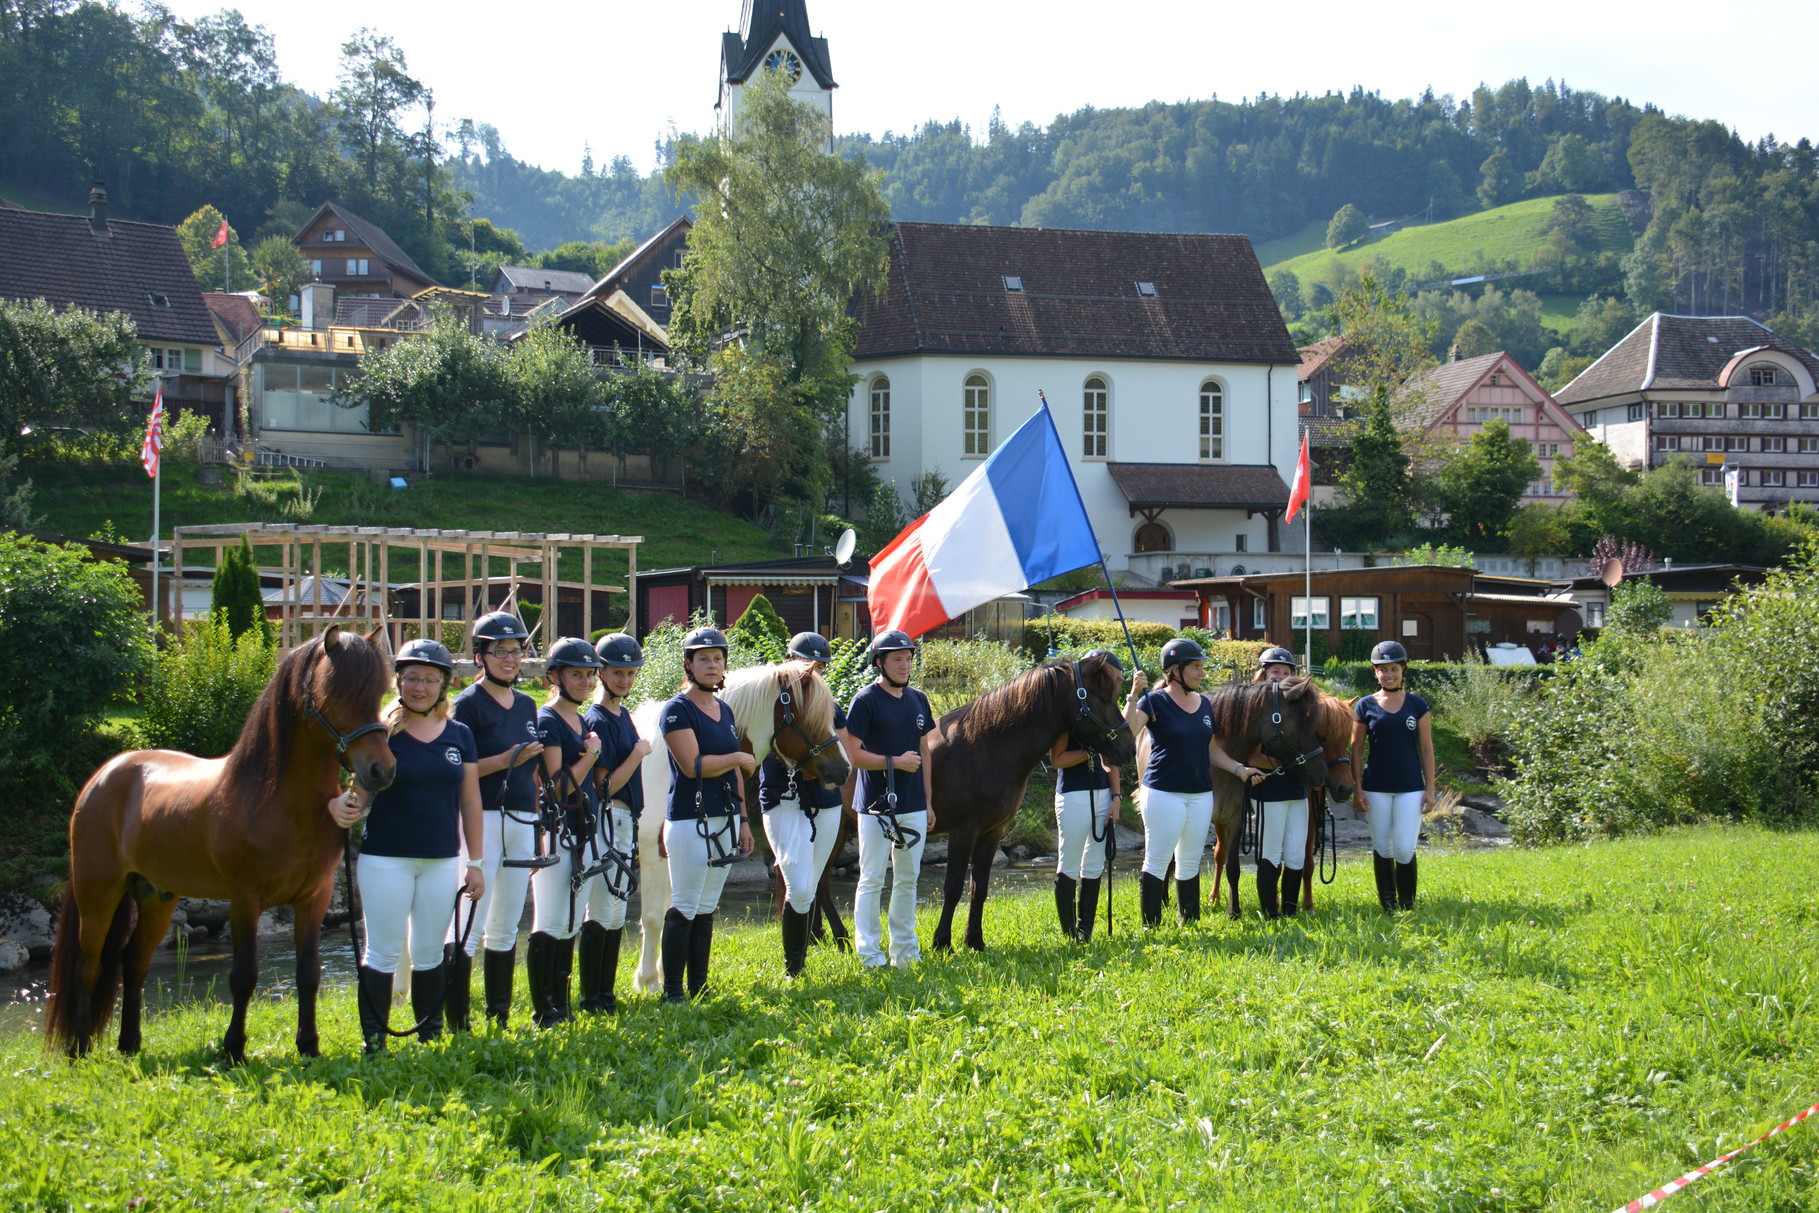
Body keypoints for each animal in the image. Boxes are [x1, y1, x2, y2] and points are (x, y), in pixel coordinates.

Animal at [45, 625, 394, 1062]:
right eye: (336, 695)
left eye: (379, 693)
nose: (382, 770)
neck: (276, 800)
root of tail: (104, 774)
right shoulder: (245, 899)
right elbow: (244, 976)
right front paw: (233, 1051)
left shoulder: (314, 897)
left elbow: (309, 973)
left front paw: (309, 1047)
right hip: (98, 892)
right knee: (88, 967)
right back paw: (78, 1050)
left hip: (157, 896)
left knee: (133, 962)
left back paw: (129, 1045)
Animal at [629, 665, 847, 996]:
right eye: (810, 718)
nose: (844, 770)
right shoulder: (654, 853)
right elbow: (655, 917)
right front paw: (649, 983)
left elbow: (673, 913)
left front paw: (665, 976)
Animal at [1215, 683, 1360, 920]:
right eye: (1322, 736)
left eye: (1348, 737)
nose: (1345, 788)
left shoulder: (1310, 816)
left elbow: (1305, 863)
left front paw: (1306, 904)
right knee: (1219, 854)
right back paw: (1214, 897)